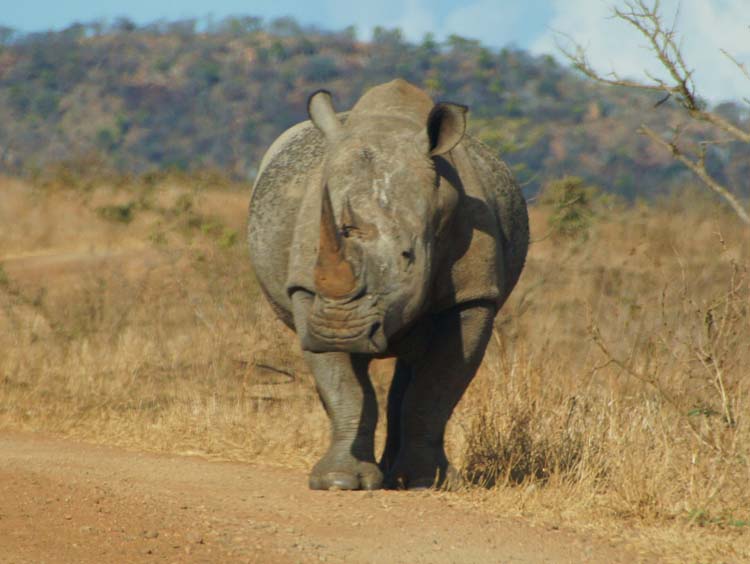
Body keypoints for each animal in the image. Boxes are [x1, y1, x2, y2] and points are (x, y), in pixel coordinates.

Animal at [248, 79, 528, 490]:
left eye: (408, 256)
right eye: (317, 251)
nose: (338, 332)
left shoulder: (474, 295)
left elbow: (436, 388)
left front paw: (427, 481)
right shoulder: (308, 292)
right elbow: (345, 387)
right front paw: (338, 481)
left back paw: (400, 476)